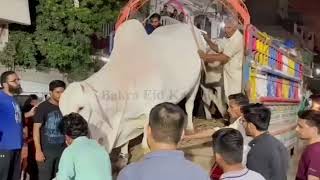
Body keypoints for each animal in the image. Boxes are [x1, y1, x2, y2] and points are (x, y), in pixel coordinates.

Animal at [59, 18, 210, 156]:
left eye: (81, 107)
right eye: (62, 111)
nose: (68, 135)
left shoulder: (151, 103)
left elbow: (147, 127)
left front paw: (146, 147)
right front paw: (124, 152)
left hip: (196, 80)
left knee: (189, 104)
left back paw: (189, 127)